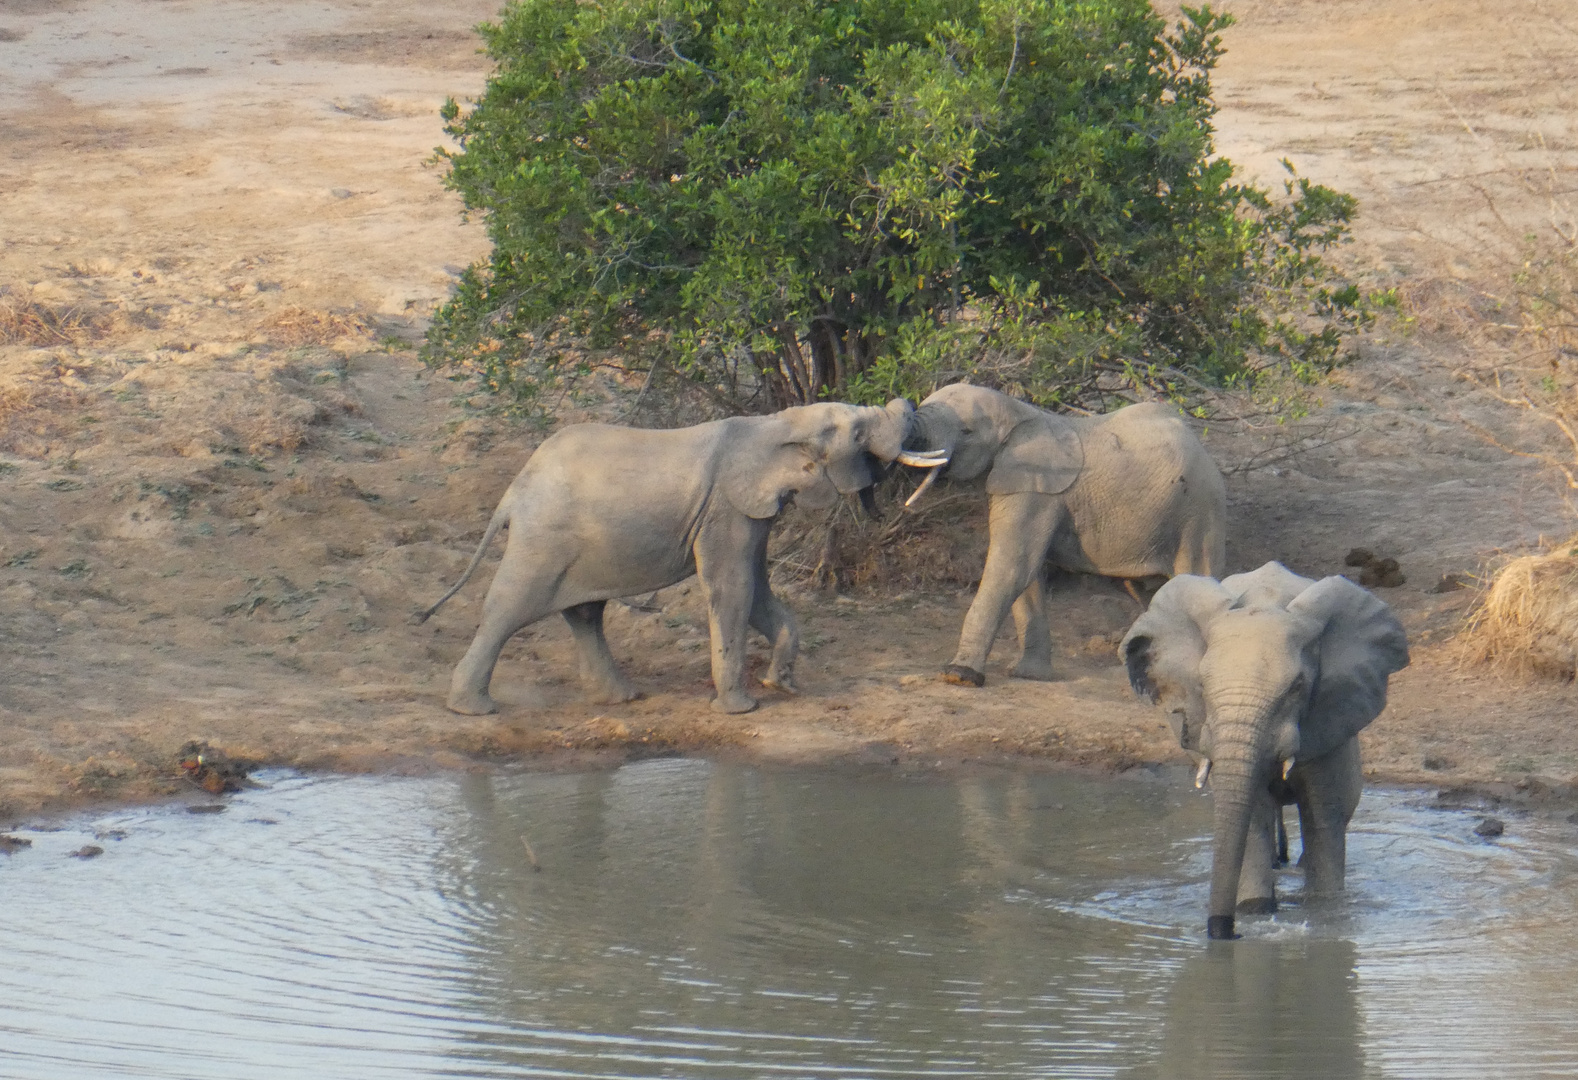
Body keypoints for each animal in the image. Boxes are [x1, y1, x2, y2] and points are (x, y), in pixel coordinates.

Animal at [419, 396, 934, 716]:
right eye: (859, 432)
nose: (912, 406)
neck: (779, 421)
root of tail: (513, 491)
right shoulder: (726, 508)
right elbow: (733, 588)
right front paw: (742, 709)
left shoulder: (750, 511)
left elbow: (757, 587)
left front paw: (781, 685)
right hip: (543, 539)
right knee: (510, 608)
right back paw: (473, 710)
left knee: (584, 613)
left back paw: (623, 699)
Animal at [896, 383, 1224, 688]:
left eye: (966, 431)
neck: (1018, 412)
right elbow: (1027, 572)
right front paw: (1029, 675)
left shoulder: (1038, 489)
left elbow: (1013, 566)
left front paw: (959, 676)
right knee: (1148, 594)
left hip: (1199, 511)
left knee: (1196, 576)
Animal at [1117, 562, 1413, 941]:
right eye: (1201, 685)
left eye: (1297, 687)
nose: (1224, 932)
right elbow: (1252, 815)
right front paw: (1255, 913)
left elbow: (1323, 818)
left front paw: (1325, 915)